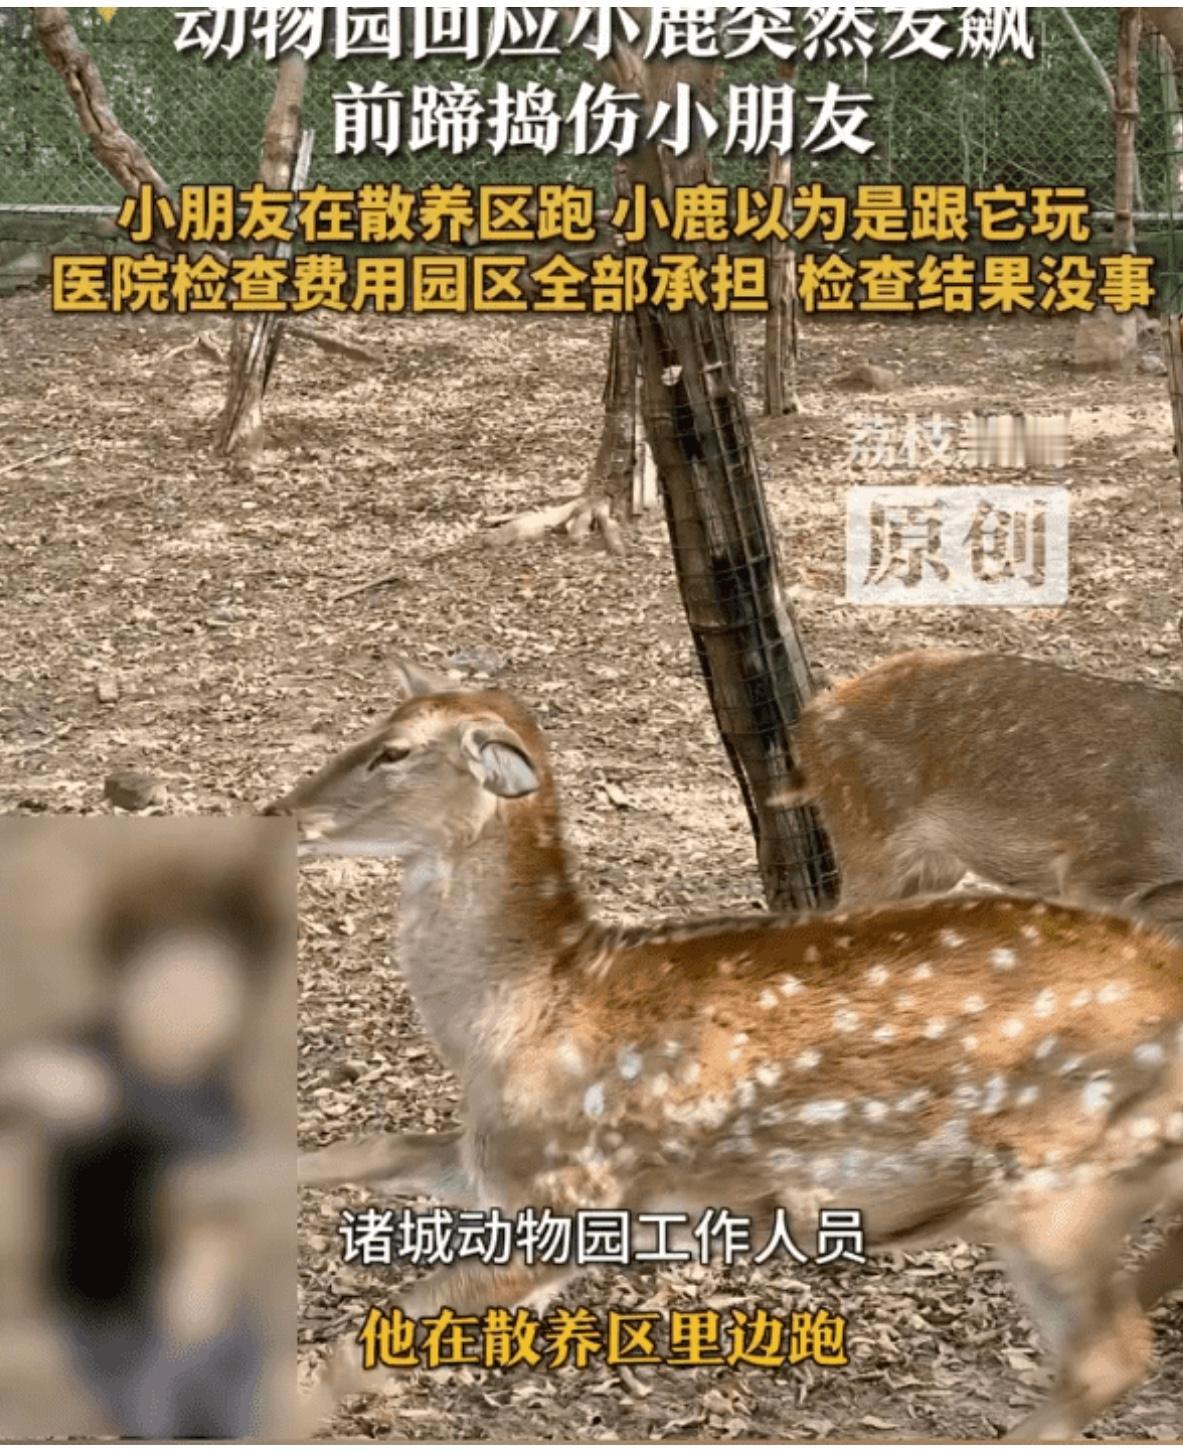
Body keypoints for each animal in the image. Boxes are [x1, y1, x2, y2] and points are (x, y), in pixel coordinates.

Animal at [272, 660, 1183, 1442]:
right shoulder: (493, 1163)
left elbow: (367, 1338)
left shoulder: (575, 1190)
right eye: (370, 727)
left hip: (1058, 1186)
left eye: (393, 751)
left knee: (1107, 1358)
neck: (521, 1012)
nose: (278, 814)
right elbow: (360, 1148)